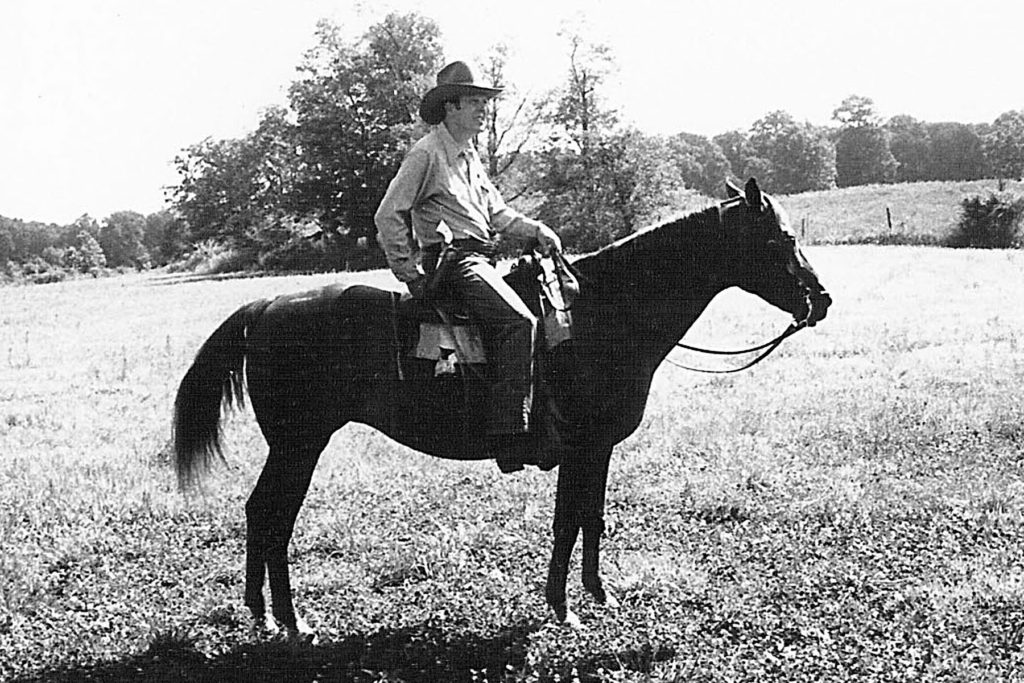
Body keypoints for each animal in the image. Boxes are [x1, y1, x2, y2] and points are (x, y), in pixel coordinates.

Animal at [173, 178, 831, 639]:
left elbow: (590, 517)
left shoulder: (597, 450)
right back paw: (290, 621)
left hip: (294, 446)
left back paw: (265, 616)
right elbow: (568, 521)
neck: (603, 316)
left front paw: (598, 594)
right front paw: (563, 608)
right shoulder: (582, 446)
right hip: (299, 445)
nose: (822, 300)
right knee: (271, 516)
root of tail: (265, 307)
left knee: (262, 514)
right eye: (781, 240)